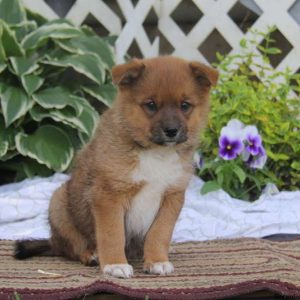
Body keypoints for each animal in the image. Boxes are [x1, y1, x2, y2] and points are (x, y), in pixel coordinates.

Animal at [14, 55, 218, 278]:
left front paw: (157, 260)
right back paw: (91, 254)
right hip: (58, 203)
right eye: (151, 105)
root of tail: (52, 242)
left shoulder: (172, 196)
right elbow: (112, 234)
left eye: (185, 105)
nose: (171, 131)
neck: (155, 153)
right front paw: (115, 264)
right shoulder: (108, 195)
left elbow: (160, 233)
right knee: (72, 246)